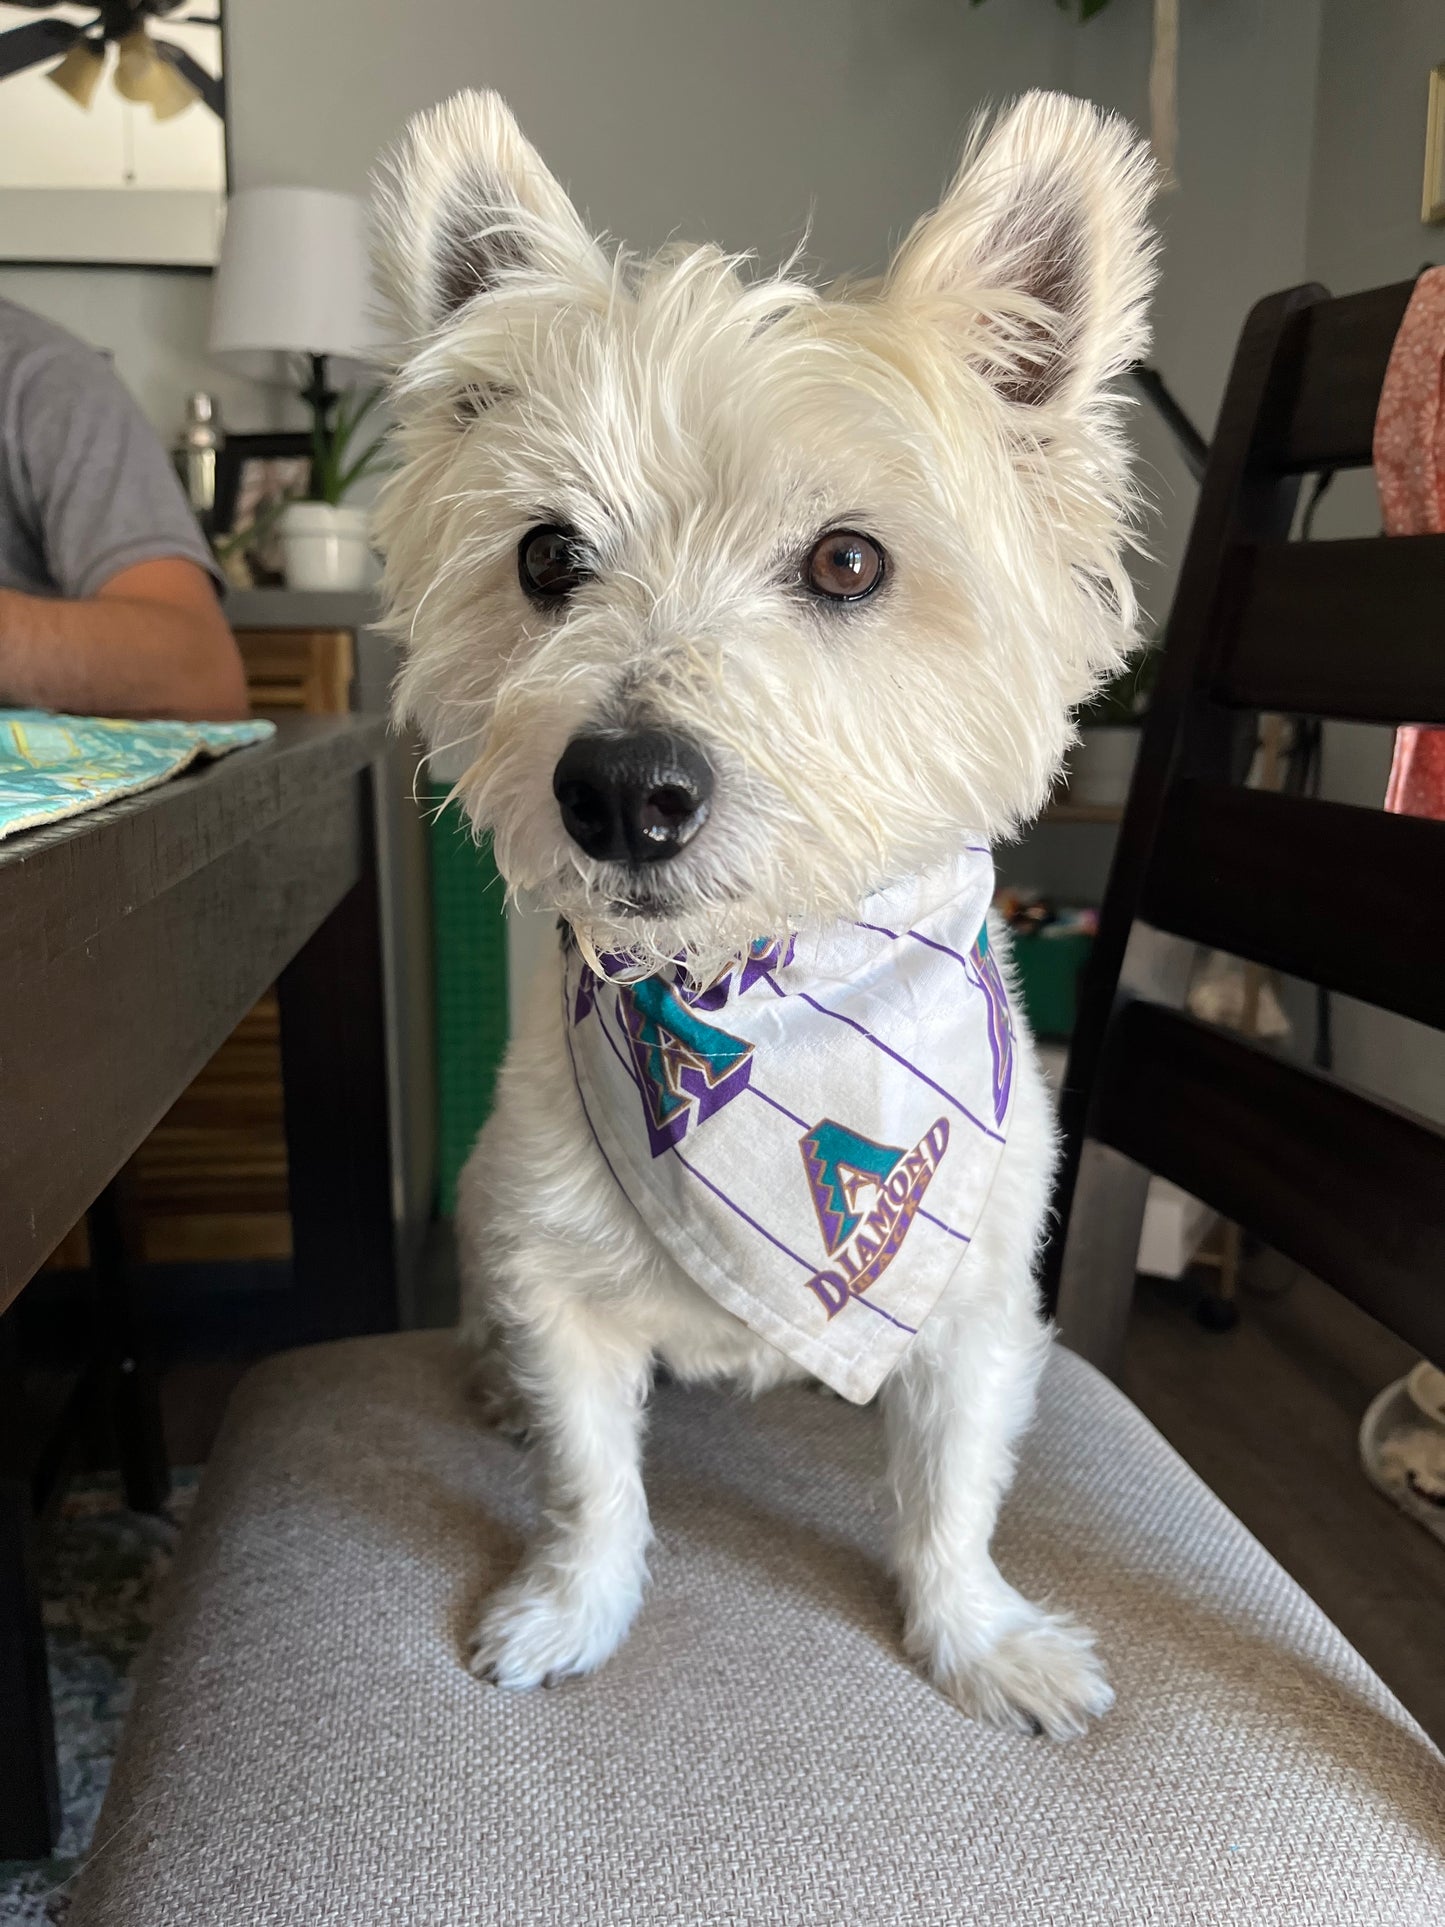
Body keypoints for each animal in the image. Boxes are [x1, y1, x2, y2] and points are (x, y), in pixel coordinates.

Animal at [373, 86, 1156, 1749]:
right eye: (547, 554)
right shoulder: (556, 1273)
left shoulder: (978, 1291)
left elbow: (952, 1490)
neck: (754, 989)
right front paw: (570, 1607)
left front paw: (979, 1636)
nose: (621, 789)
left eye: (849, 558)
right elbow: (591, 1475)